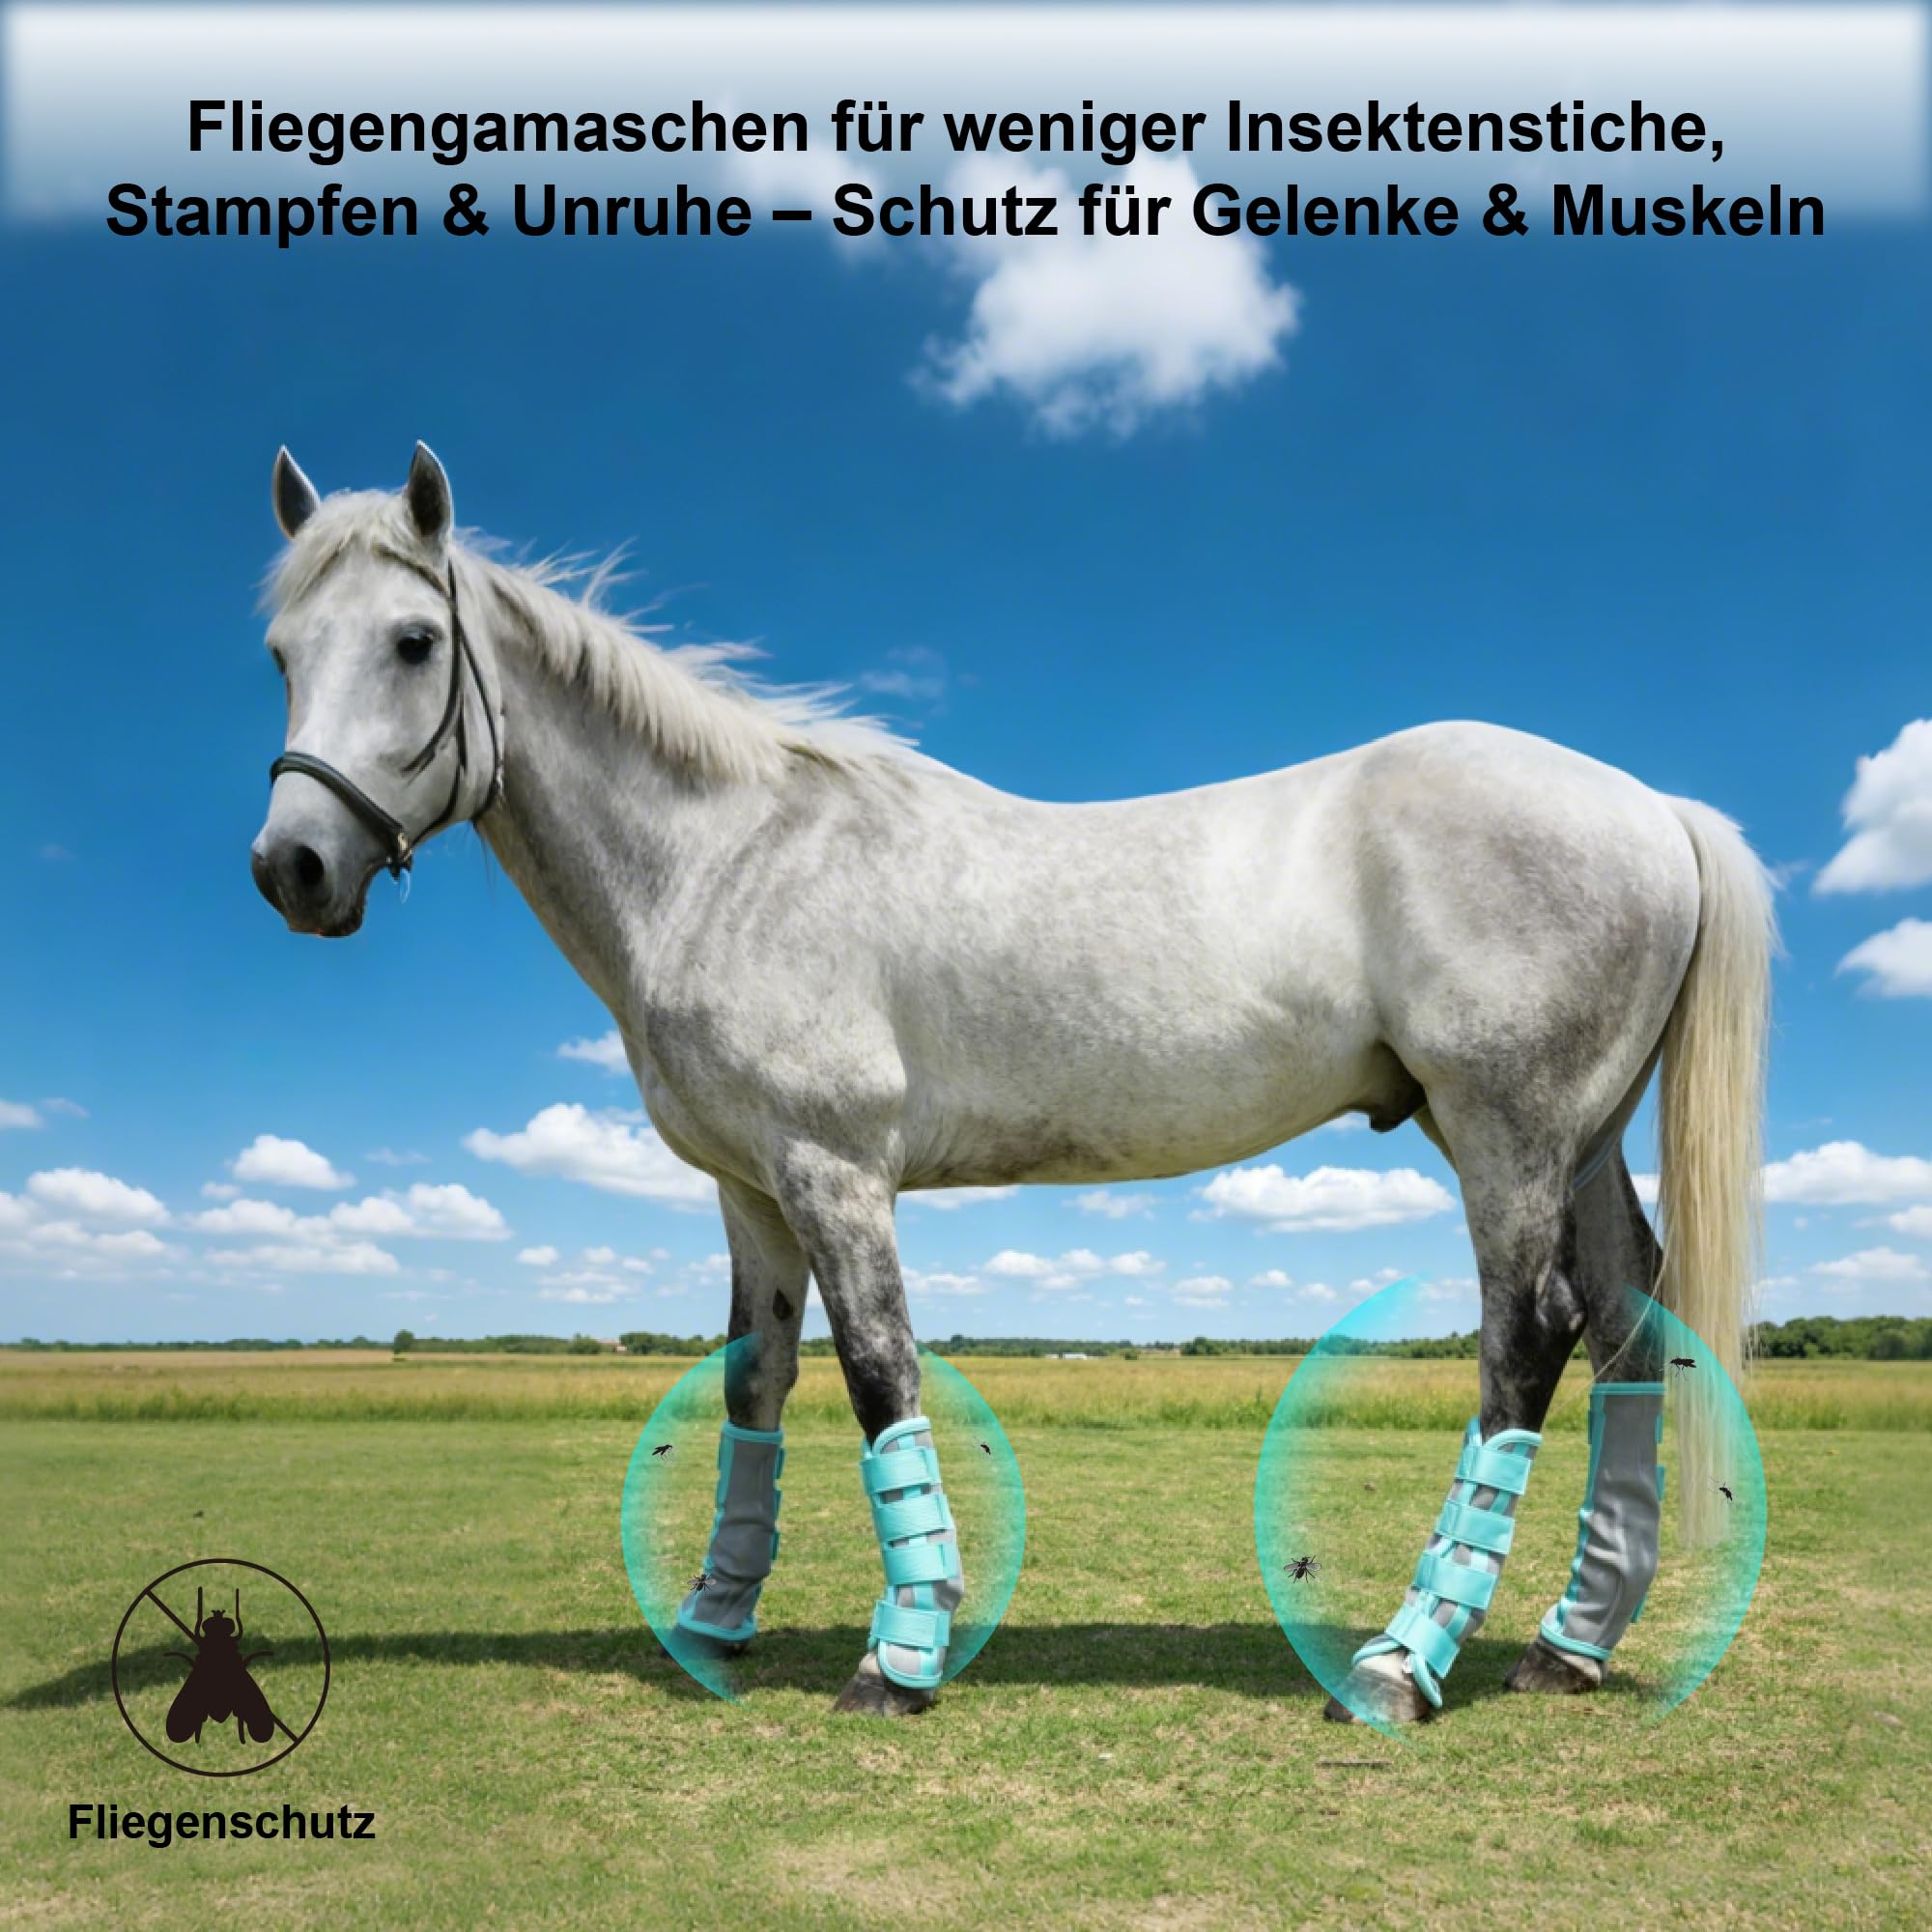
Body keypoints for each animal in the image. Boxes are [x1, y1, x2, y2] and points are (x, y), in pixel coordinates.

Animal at [251, 444, 1773, 1721]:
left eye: (412, 640)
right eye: (279, 654)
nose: (292, 868)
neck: (728, 859)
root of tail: (1648, 806)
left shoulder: (835, 1171)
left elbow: (877, 1374)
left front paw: (904, 1652)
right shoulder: (752, 1189)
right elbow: (755, 1384)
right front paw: (715, 1618)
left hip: (1503, 1130)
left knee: (1531, 1337)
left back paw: (1407, 1658)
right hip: (1578, 1136)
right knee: (1629, 1323)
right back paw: (1568, 1644)